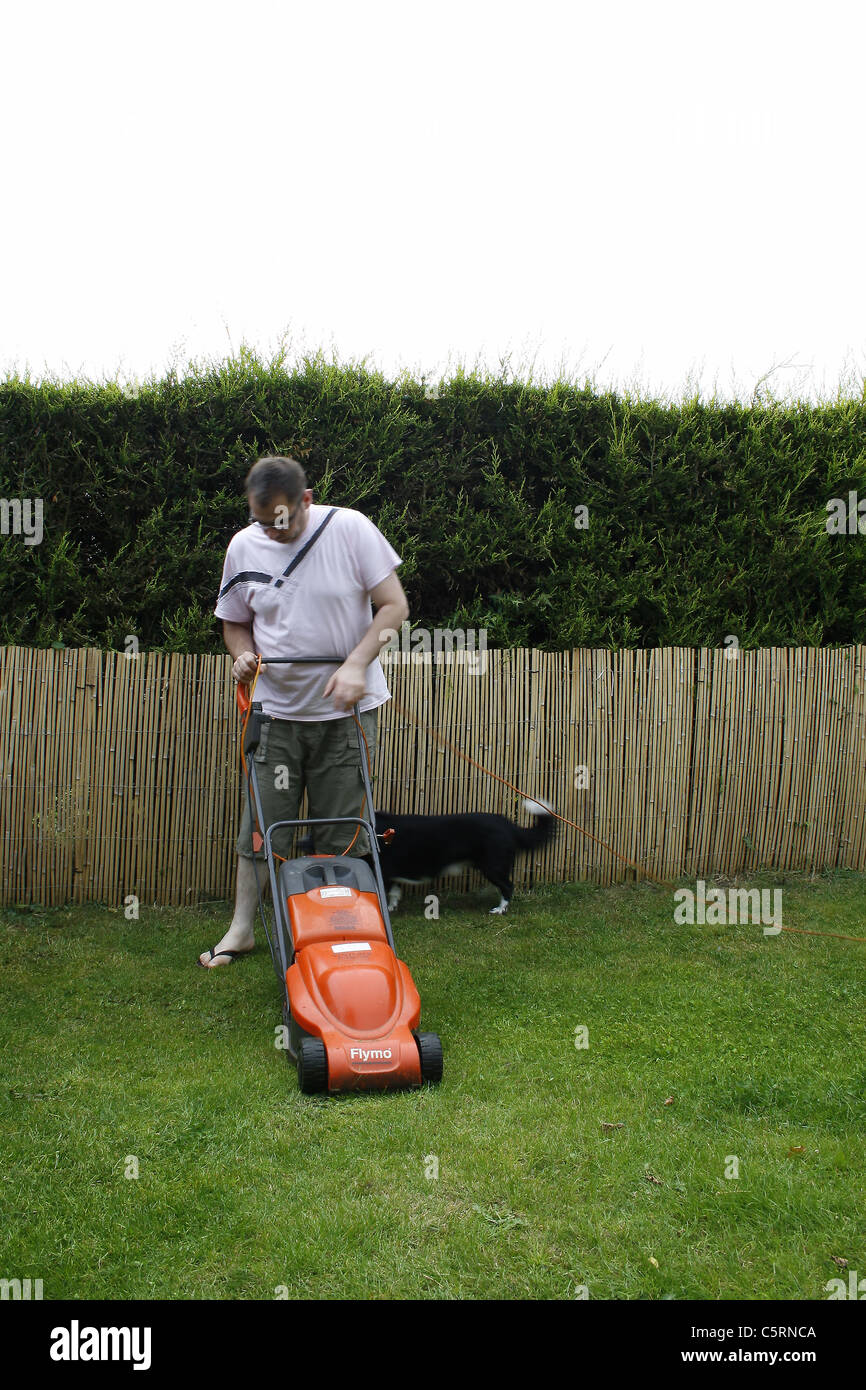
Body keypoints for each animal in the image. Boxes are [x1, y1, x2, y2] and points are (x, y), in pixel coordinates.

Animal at [366, 800, 556, 917]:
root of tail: (509, 825)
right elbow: (394, 891)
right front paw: (391, 907)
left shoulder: (383, 869)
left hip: (492, 866)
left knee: (508, 886)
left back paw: (499, 910)